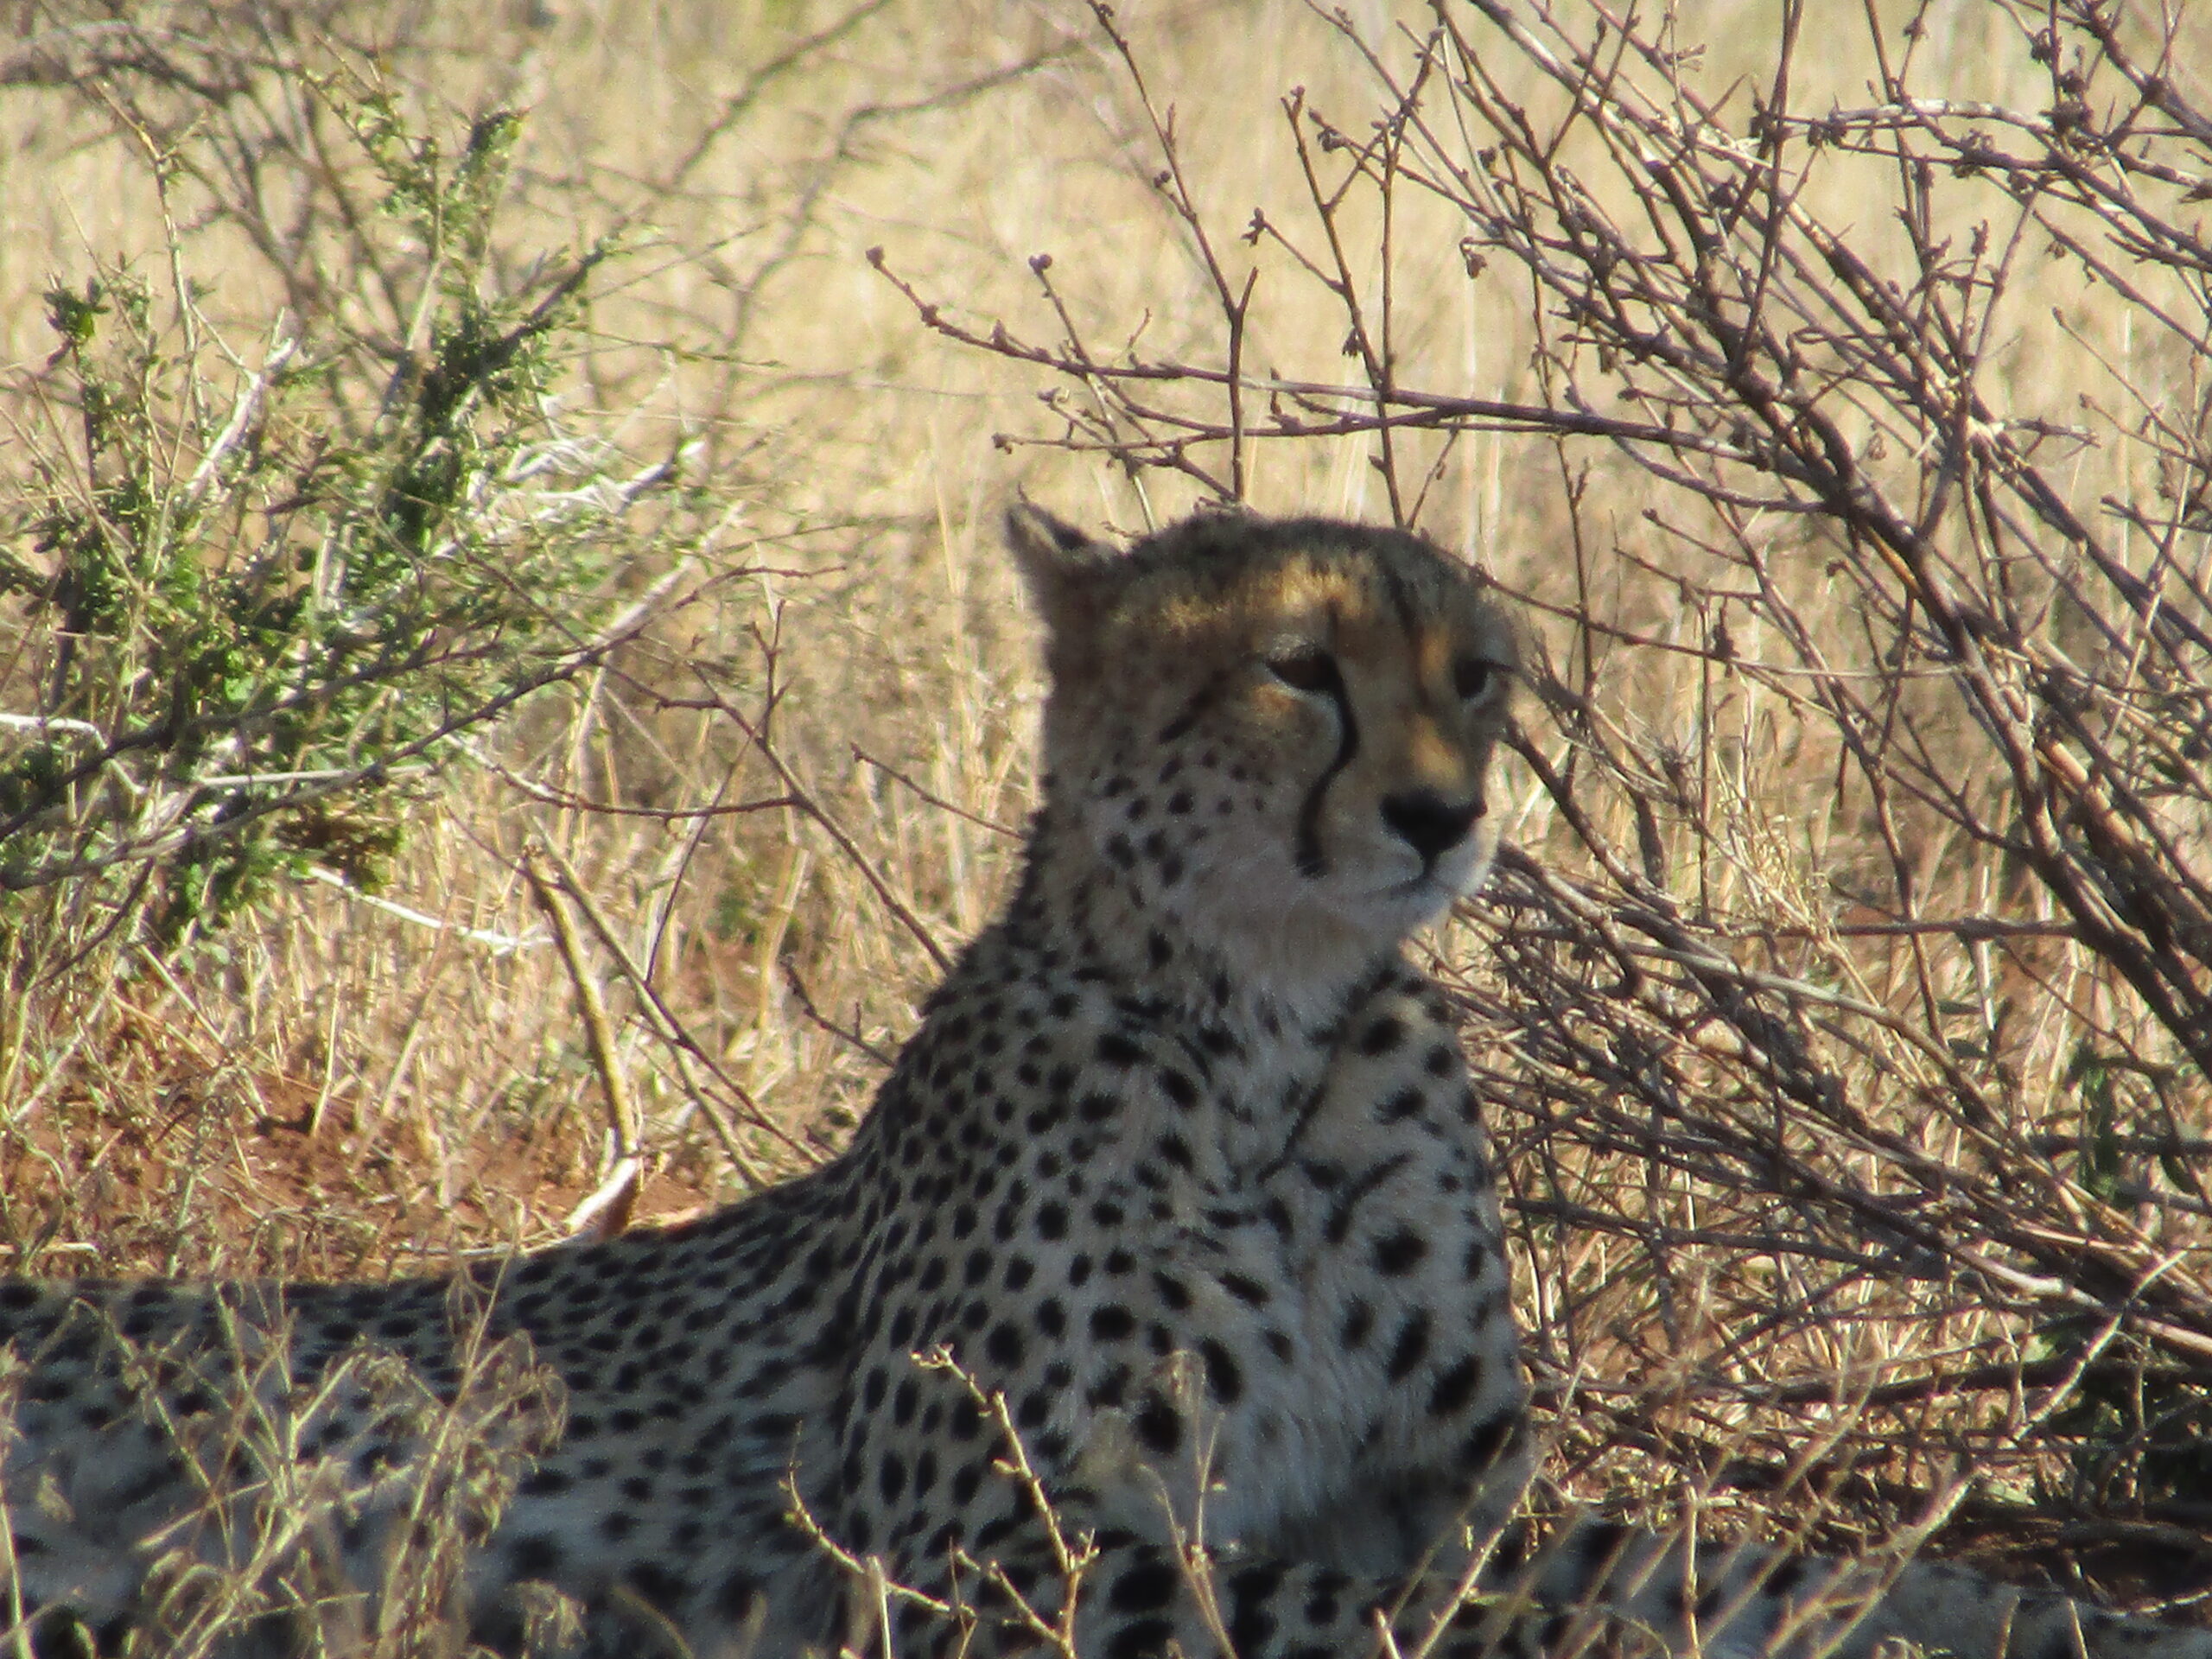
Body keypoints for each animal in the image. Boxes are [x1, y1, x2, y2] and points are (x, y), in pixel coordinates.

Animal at [3, 506, 2208, 1659]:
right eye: (1298, 670)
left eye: (1473, 672)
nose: (1442, 817)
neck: (1271, 1032)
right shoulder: (997, 1559)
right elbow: (1440, 1628)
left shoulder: (1448, 1495)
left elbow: (1741, 1563)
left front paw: (2062, 1618)